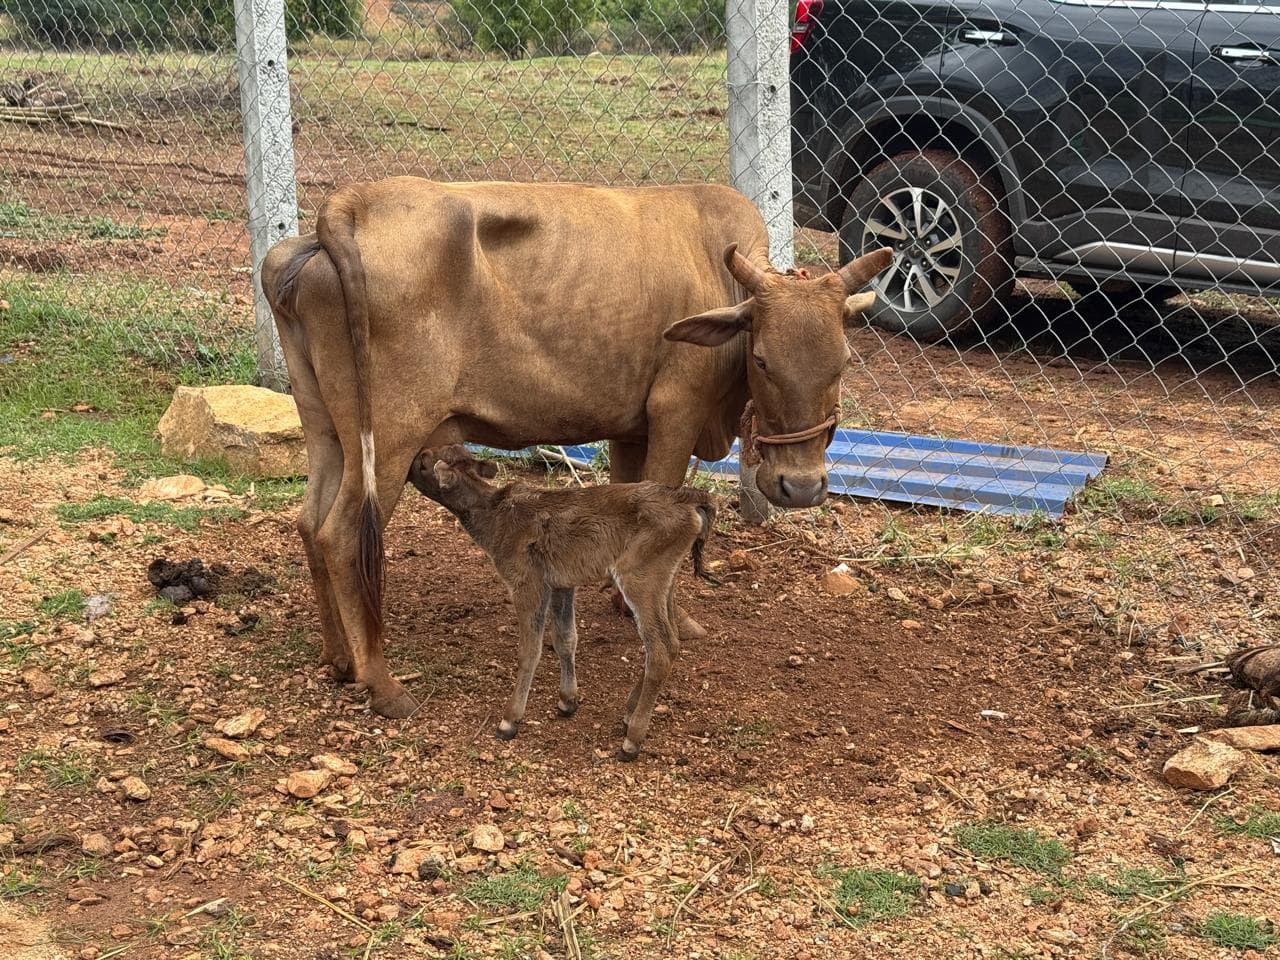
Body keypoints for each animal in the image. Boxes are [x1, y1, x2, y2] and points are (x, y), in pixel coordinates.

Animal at [262, 178, 891, 718]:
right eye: (762, 359)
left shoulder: (630, 428)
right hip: (390, 439)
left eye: (841, 362)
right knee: (340, 535)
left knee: (308, 521)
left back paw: (340, 660)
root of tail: (349, 207)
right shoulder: (675, 414)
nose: (801, 487)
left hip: (328, 432)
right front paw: (674, 617)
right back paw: (382, 682)